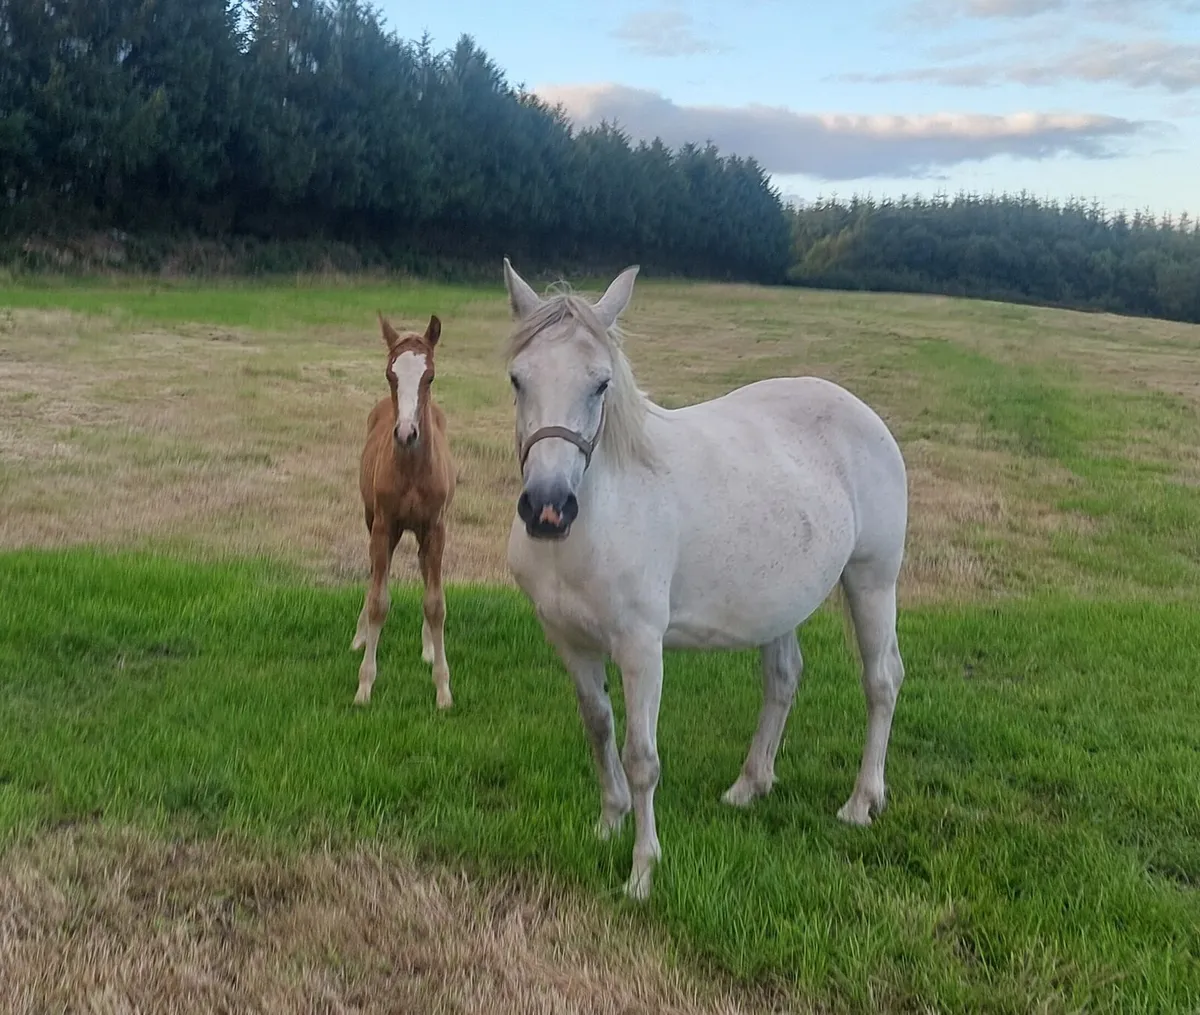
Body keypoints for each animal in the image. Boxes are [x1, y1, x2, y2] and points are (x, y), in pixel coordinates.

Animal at [351, 312, 456, 710]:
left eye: (430, 377)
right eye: (390, 375)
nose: (407, 433)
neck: (412, 469)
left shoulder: (436, 528)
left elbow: (435, 603)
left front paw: (443, 689)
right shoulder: (384, 526)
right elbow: (378, 600)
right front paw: (365, 685)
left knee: (426, 570)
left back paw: (427, 647)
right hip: (375, 522)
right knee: (374, 576)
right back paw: (360, 636)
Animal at [500, 259, 909, 900]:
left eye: (601, 384)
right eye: (519, 379)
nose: (548, 508)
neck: (596, 519)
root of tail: (862, 412)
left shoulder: (641, 647)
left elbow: (642, 758)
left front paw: (642, 871)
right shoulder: (568, 640)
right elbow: (599, 728)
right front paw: (608, 823)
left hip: (872, 581)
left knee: (882, 681)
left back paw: (861, 801)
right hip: (780, 601)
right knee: (783, 679)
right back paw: (749, 785)